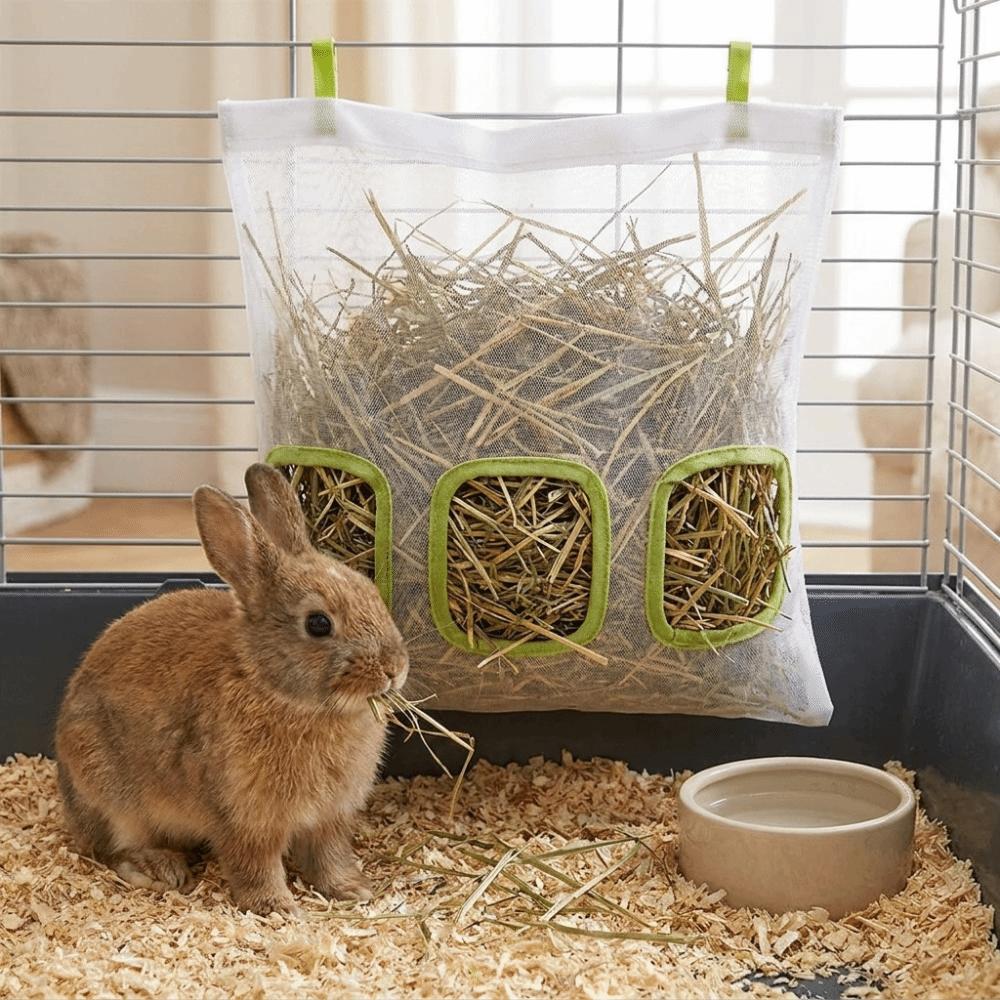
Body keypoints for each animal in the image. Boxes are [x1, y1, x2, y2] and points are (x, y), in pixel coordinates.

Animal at [55, 462, 409, 916]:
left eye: (369, 590)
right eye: (318, 624)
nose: (394, 670)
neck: (273, 686)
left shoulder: (329, 819)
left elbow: (329, 857)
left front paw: (353, 890)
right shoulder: (244, 818)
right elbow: (255, 864)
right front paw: (277, 906)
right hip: (110, 797)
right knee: (109, 850)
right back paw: (161, 870)